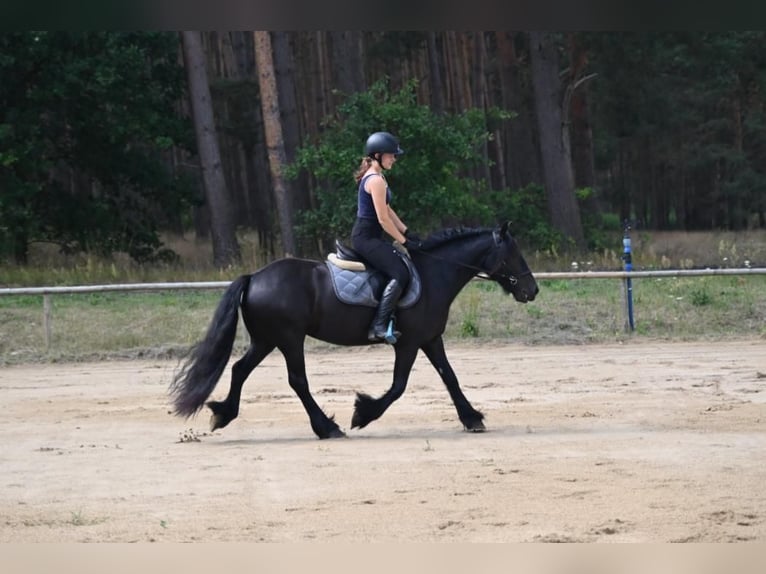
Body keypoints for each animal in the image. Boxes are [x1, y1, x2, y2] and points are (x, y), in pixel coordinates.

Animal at [169, 221, 538, 439]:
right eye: (512, 254)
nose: (531, 290)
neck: (435, 274)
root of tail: (254, 277)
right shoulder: (409, 343)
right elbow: (398, 386)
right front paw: (363, 413)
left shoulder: (431, 339)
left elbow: (450, 377)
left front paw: (472, 418)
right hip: (289, 338)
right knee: (297, 381)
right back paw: (327, 427)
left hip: (265, 339)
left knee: (239, 369)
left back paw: (223, 414)